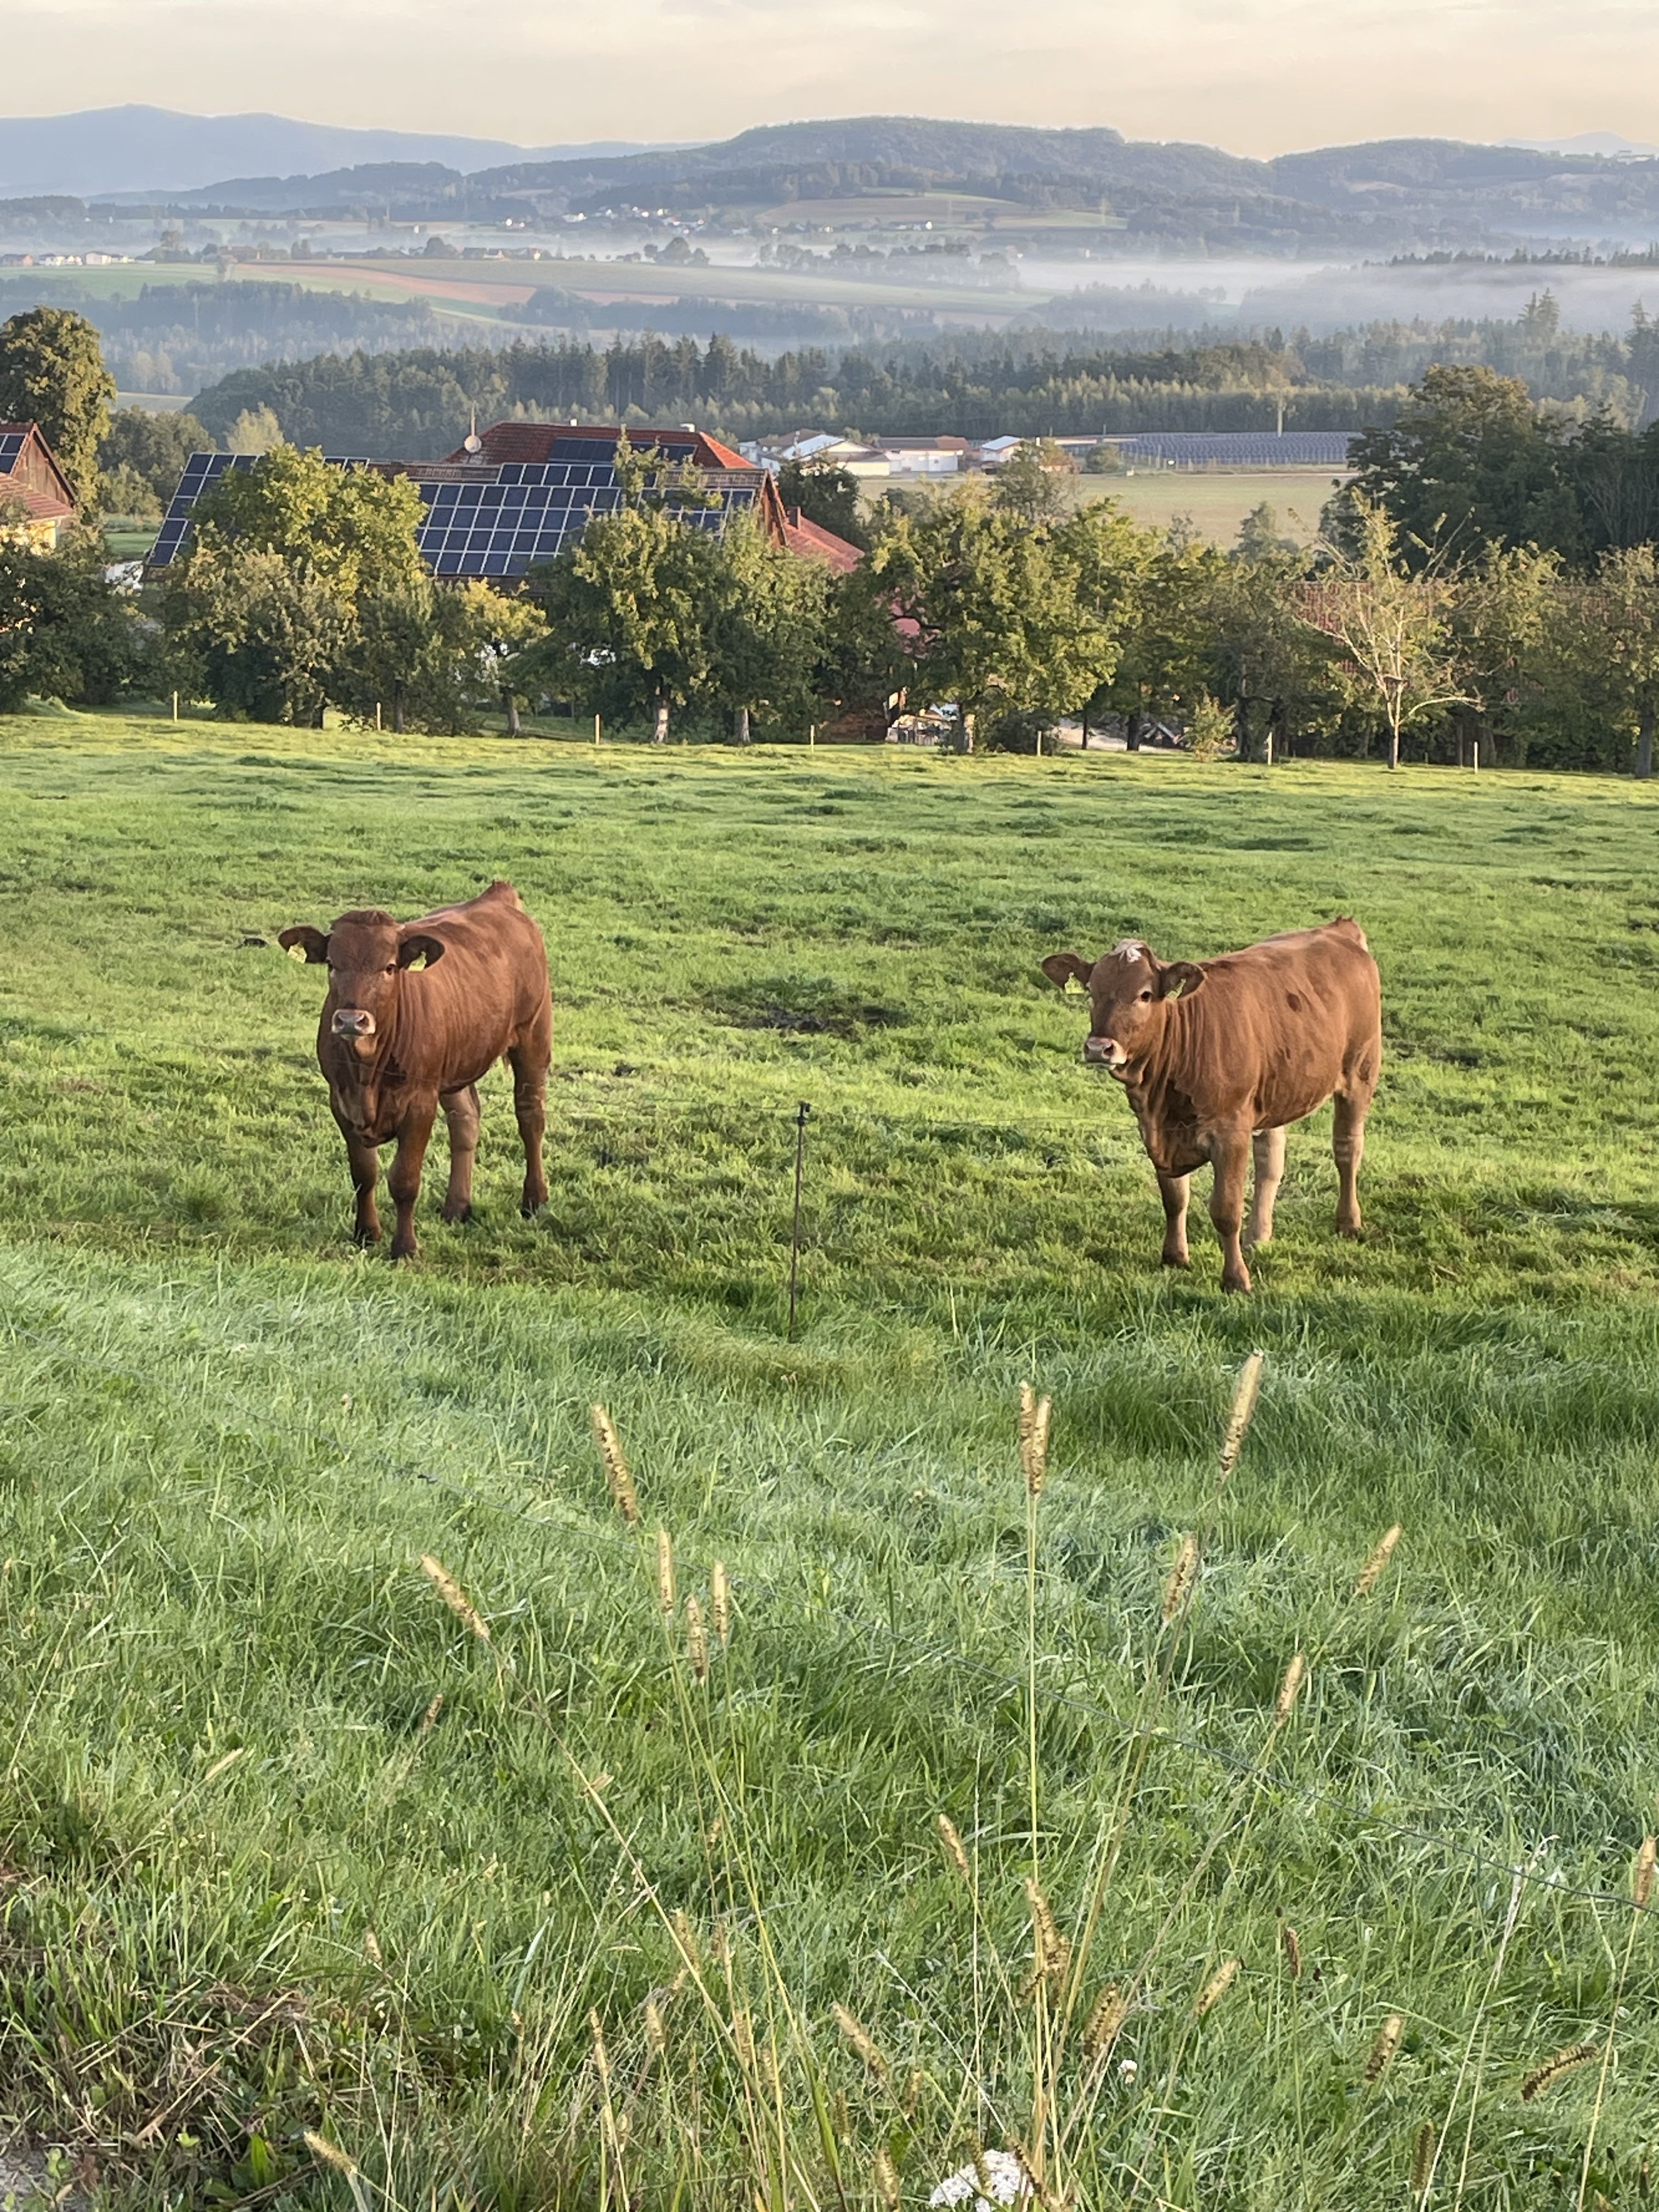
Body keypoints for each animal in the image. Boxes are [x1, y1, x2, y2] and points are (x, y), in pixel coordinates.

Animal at [278, 880, 552, 1262]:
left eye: (390, 967)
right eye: (332, 964)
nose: (350, 1020)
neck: (367, 1074)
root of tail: (499, 897)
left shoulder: (420, 1103)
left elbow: (405, 1180)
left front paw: (405, 1247)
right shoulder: (341, 1101)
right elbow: (364, 1173)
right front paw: (367, 1233)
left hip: (533, 1037)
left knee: (530, 1118)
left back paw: (534, 1199)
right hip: (456, 1062)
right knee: (465, 1120)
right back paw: (458, 1206)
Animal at [1040, 919, 1381, 1293]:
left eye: (1145, 995)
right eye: (1091, 991)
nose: (1099, 1048)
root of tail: (1339, 928)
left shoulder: (1230, 1133)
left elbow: (1226, 1210)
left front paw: (1236, 1278)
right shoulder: (1157, 1131)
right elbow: (1175, 1198)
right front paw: (1175, 1257)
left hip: (1360, 1072)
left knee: (1347, 1149)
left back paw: (1348, 1222)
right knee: (1271, 1161)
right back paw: (1258, 1236)